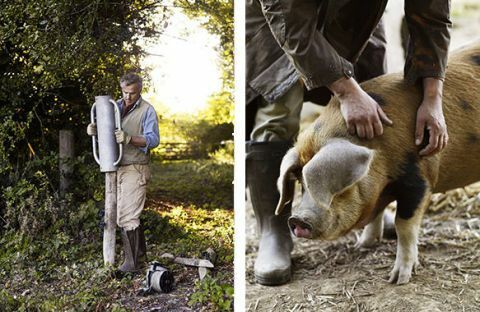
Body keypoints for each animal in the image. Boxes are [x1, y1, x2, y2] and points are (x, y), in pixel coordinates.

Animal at [276, 41, 480, 286]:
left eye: (335, 188)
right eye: (301, 184)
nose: (297, 219)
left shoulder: (419, 179)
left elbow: (404, 226)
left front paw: (397, 279)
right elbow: (376, 214)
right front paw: (362, 246)